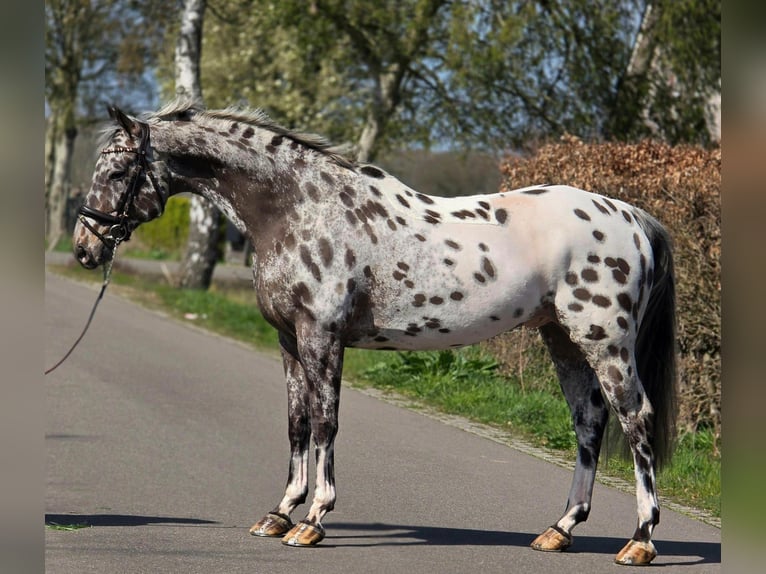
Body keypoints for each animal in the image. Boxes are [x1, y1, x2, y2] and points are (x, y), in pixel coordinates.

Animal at [73, 100, 677, 566]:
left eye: (117, 173)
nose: (84, 248)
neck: (296, 208)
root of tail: (630, 215)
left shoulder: (321, 337)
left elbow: (325, 423)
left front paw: (313, 520)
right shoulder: (289, 341)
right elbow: (296, 424)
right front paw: (279, 513)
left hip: (605, 342)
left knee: (636, 420)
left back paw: (640, 540)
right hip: (563, 340)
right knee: (589, 424)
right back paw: (560, 529)